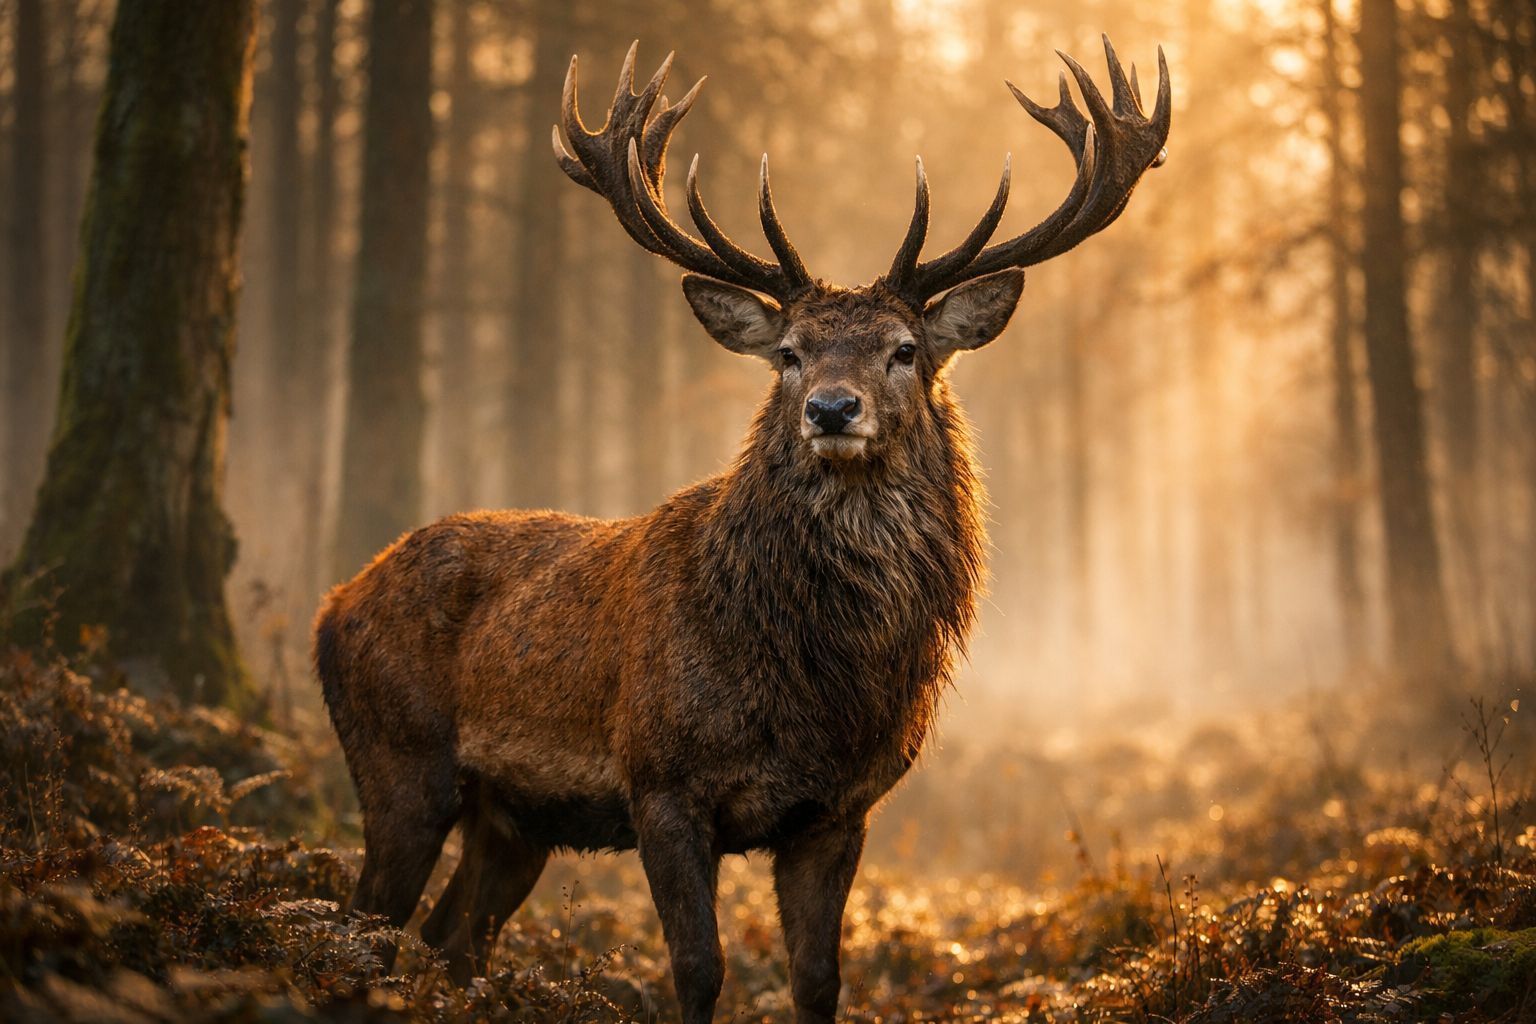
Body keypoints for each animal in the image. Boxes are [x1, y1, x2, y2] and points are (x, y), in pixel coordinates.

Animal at [314, 36, 1169, 1024]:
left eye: (904, 351)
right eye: (789, 353)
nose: (831, 409)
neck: (809, 687)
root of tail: (331, 604)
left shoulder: (841, 809)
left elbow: (819, 977)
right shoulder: (661, 783)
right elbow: (698, 969)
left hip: (512, 818)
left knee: (452, 939)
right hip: (400, 759)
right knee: (365, 924)